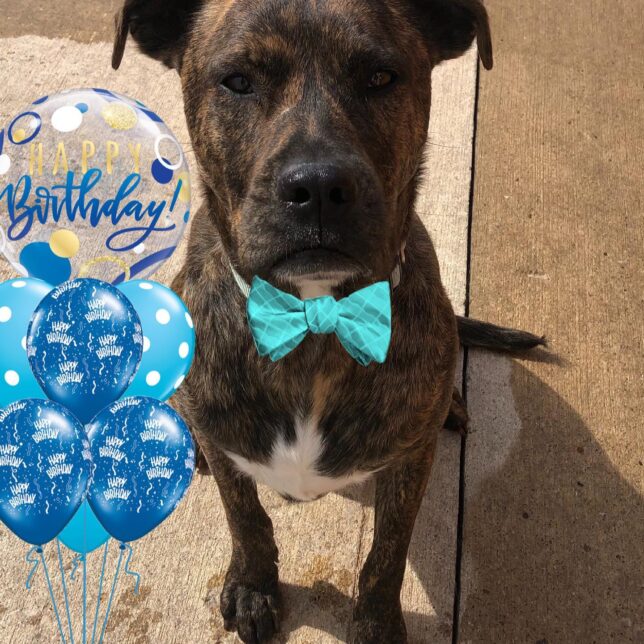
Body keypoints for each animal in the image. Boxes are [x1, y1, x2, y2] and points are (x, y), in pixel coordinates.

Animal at [112, 2, 544, 640]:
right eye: (237, 80)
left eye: (381, 77)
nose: (317, 186)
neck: (315, 321)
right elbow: (246, 518)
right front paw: (253, 587)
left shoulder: (408, 466)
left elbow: (386, 554)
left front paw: (377, 623)